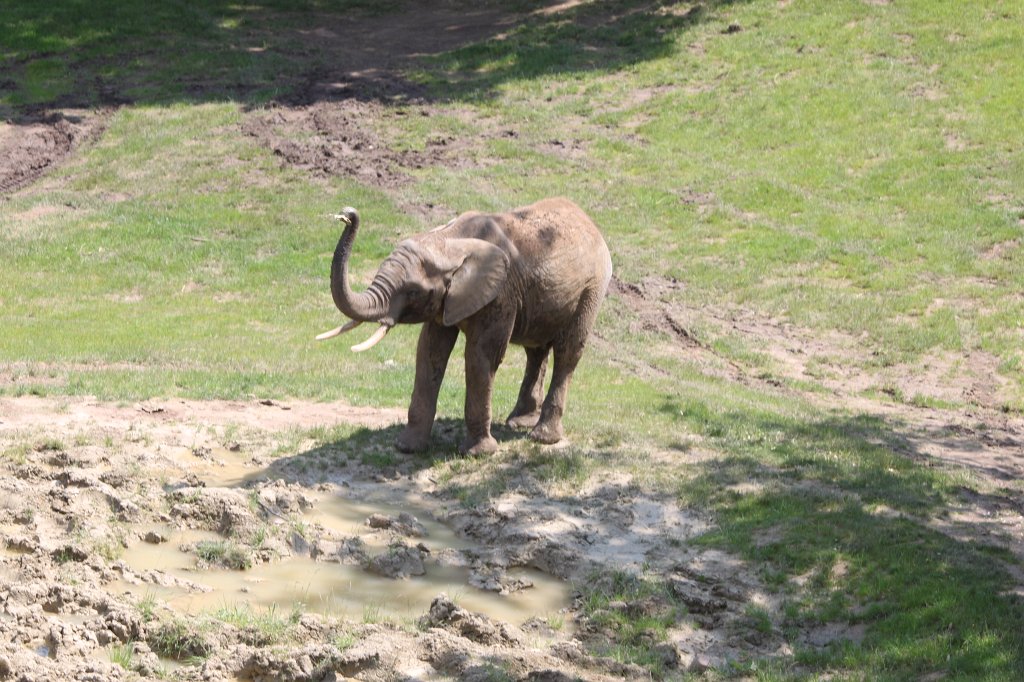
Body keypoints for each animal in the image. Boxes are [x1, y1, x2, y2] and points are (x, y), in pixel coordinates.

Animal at [317, 197, 612, 456]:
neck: (450, 240)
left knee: (567, 353)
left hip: (592, 289)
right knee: (536, 351)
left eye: (412, 291)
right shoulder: (447, 300)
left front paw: (478, 453)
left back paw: (543, 438)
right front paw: (407, 448)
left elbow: (481, 355)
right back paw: (519, 422)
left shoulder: (501, 292)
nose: (347, 215)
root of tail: (590, 222)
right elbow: (429, 351)